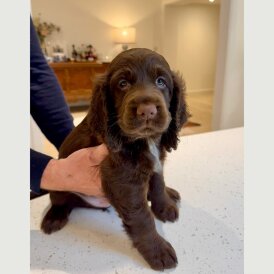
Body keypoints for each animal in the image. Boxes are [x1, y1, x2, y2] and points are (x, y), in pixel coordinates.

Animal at [41, 47, 188, 270]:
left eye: (161, 82)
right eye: (123, 84)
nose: (147, 111)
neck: (144, 140)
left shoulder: (156, 162)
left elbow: (158, 184)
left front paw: (164, 207)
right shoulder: (122, 179)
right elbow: (142, 217)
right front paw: (157, 251)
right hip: (58, 183)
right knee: (60, 201)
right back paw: (54, 218)